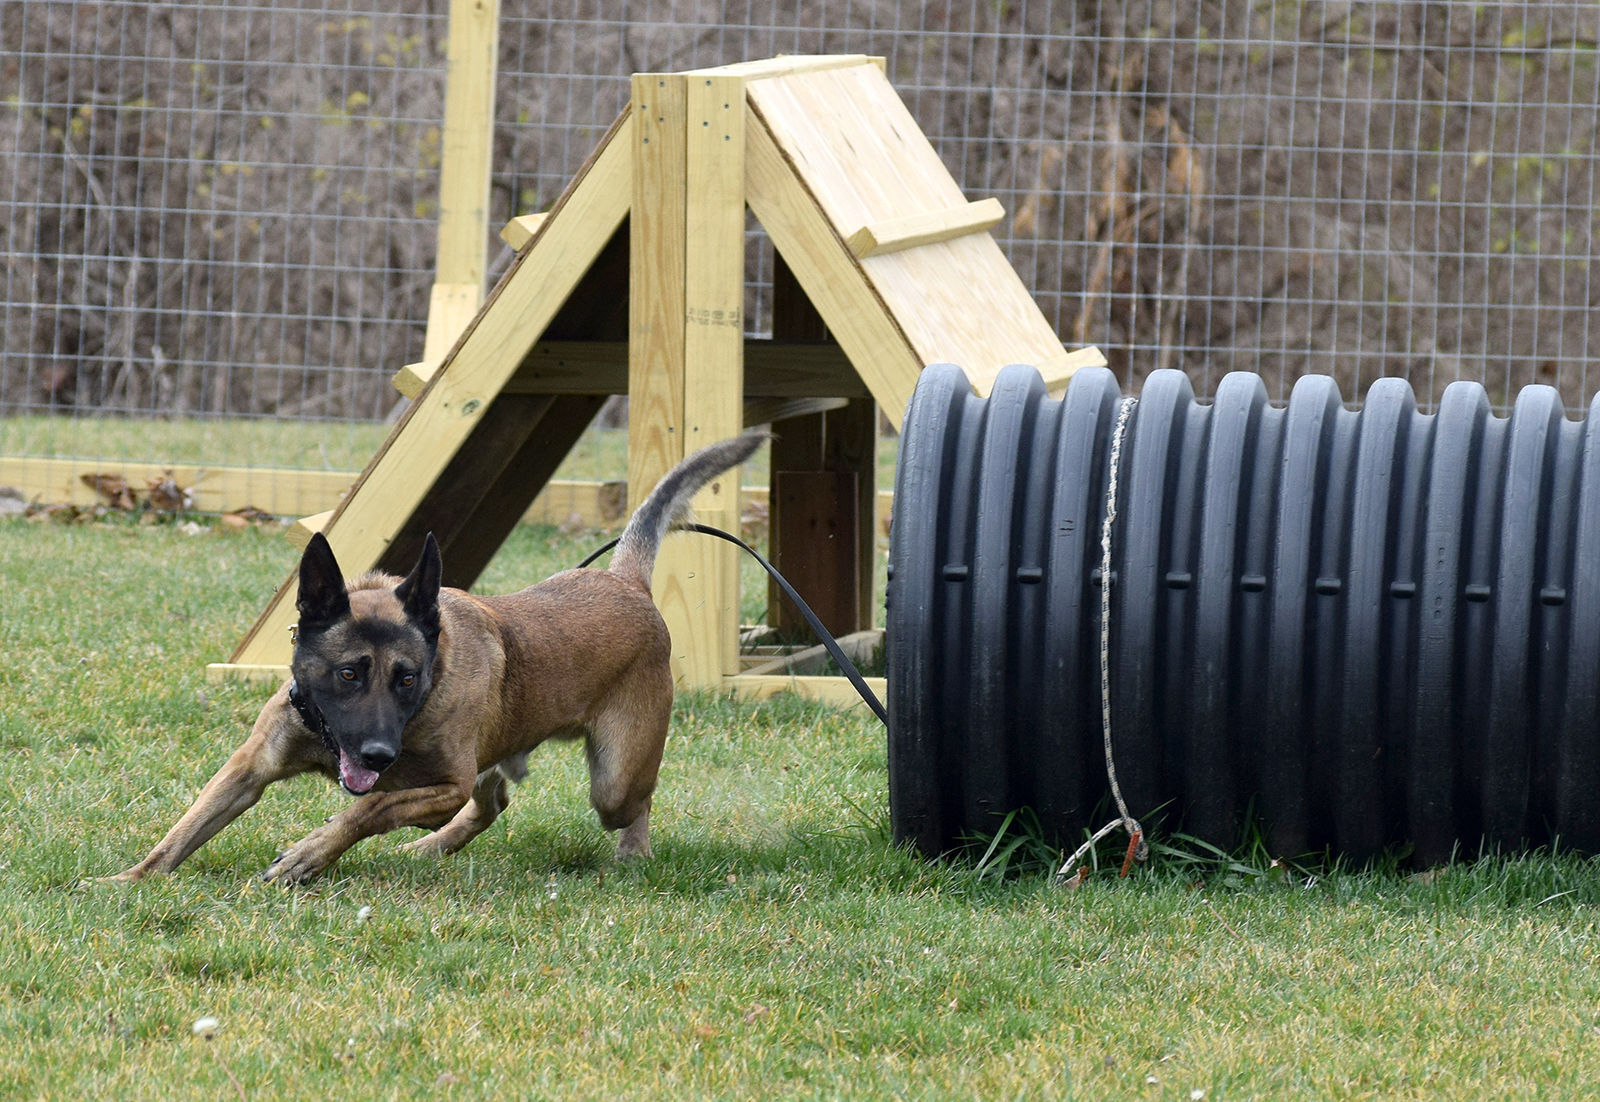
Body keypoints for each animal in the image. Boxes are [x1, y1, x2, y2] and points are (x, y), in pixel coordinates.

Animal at [109, 435, 764, 882]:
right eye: (349, 673)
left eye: (408, 678)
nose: (378, 753)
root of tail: (626, 582)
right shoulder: (250, 767)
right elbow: (182, 832)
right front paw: (126, 881)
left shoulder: (443, 784)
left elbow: (367, 810)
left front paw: (307, 855)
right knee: (493, 801)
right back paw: (429, 849)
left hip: (614, 780)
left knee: (632, 802)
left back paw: (633, 851)